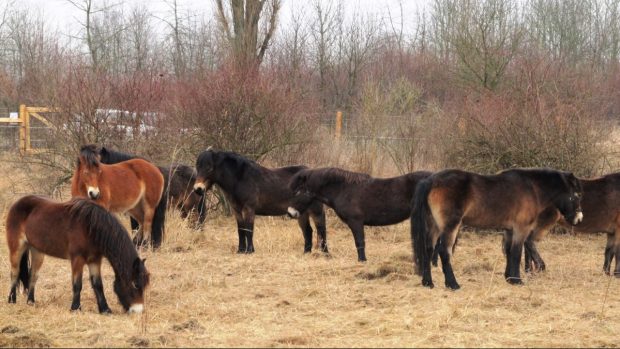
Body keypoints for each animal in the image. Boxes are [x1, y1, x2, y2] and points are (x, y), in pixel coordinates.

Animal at [5, 194, 150, 312]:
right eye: (135, 284)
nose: (138, 310)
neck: (91, 228)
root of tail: (17, 203)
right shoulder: (77, 259)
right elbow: (77, 284)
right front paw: (75, 308)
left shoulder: (95, 260)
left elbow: (98, 285)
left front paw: (105, 309)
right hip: (17, 248)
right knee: (14, 273)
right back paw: (11, 300)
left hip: (37, 251)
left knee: (33, 275)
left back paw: (31, 301)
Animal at [194, 147, 330, 253]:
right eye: (197, 167)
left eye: (209, 168)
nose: (198, 189)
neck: (240, 178)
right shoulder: (237, 210)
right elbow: (241, 229)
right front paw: (240, 250)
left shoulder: (248, 209)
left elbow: (249, 229)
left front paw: (249, 251)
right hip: (301, 213)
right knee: (308, 231)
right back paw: (306, 252)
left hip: (315, 211)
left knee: (321, 228)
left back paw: (324, 252)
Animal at [290, 167, 432, 260]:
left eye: (298, 192)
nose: (291, 213)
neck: (343, 189)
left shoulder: (356, 222)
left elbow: (359, 242)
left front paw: (362, 261)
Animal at [412, 167, 580, 290]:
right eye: (575, 195)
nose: (578, 219)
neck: (532, 187)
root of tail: (431, 180)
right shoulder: (521, 229)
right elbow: (517, 253)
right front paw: (517, 280)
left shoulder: (509, 230)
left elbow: (509, 251)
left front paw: (509, 278)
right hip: (450, 227)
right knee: (443, 252)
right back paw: (452, 284)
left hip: (433, 225)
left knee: (428, 250)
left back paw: (428, 282)